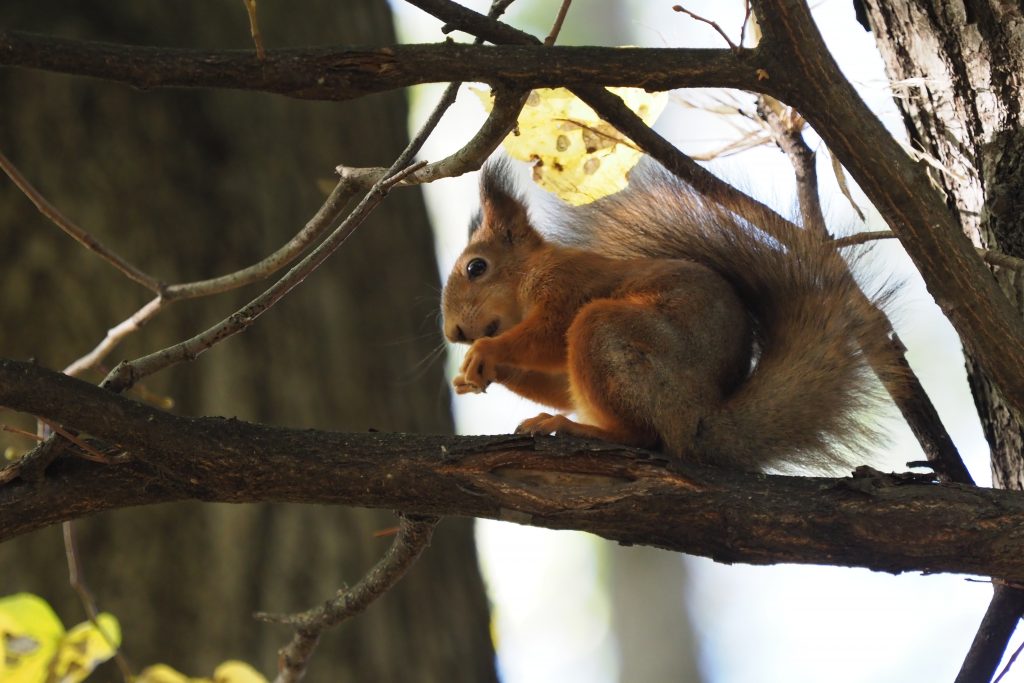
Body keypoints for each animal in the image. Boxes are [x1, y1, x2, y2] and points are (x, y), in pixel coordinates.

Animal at [440, 157, 897, 473]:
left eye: (476, 268)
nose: (454, 332)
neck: (530, 273)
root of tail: (701, 419)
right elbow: (561, 386)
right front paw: (475, 375)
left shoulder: (568, 287)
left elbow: (550, 335)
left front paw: (488, 352)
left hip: (609, 334)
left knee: (643, 435)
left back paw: (579, 428)